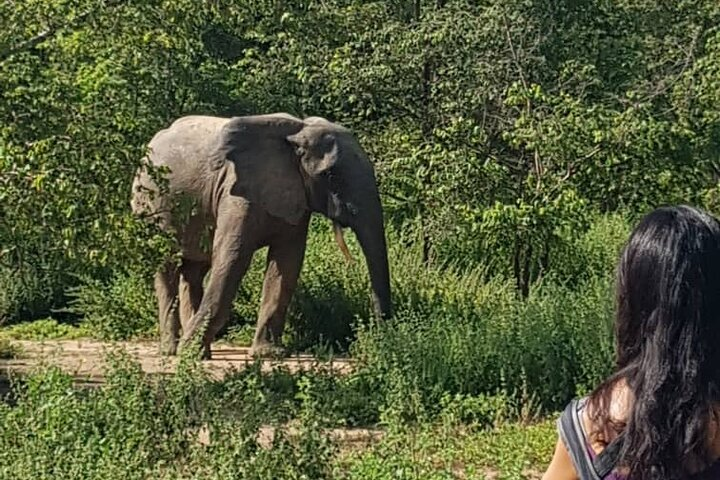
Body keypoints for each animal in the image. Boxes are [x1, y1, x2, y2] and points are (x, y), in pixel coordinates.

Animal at [132, 113, 394, 360]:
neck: (297, 132)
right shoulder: (237, 191)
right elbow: (232, 258)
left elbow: (287, 263)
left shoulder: (295, 196)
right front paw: (189, 353)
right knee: (166, 266)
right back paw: (173, 350)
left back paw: (198, 350)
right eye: (330, 175)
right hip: (151, 204)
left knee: (195, 269)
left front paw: (269, 354)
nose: (379, 335)